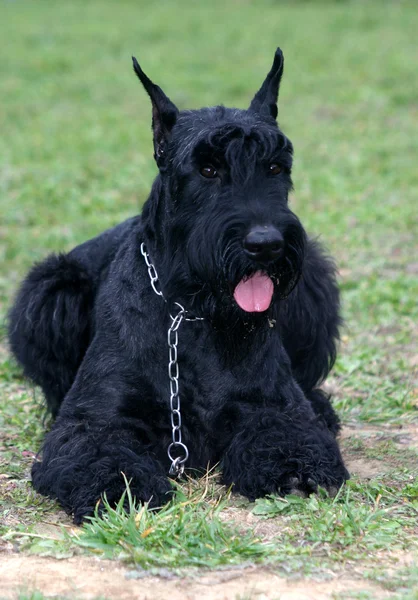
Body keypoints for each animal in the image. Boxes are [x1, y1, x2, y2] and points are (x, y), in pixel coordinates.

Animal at [9, 49, 350, 524]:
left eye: (275, 167)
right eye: (207, 169)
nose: (266, 244)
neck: (192, 311)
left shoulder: (274, 406)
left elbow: (290, 433)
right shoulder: (97, 420)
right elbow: (101, 452)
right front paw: (118, 486)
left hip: (311, 280)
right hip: (50, 288)